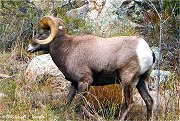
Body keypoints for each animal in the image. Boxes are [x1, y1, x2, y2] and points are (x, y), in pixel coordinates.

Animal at [26, 15, 155, 120]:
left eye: (40, 34)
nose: (28, 48)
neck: (67, 50)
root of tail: (147, 50)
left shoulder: (85, 82)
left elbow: (78, 104)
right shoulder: (74, 84)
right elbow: (68, 102)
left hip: (127, 81)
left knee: (129, 102)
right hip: (141, 81)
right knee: (149, 101)